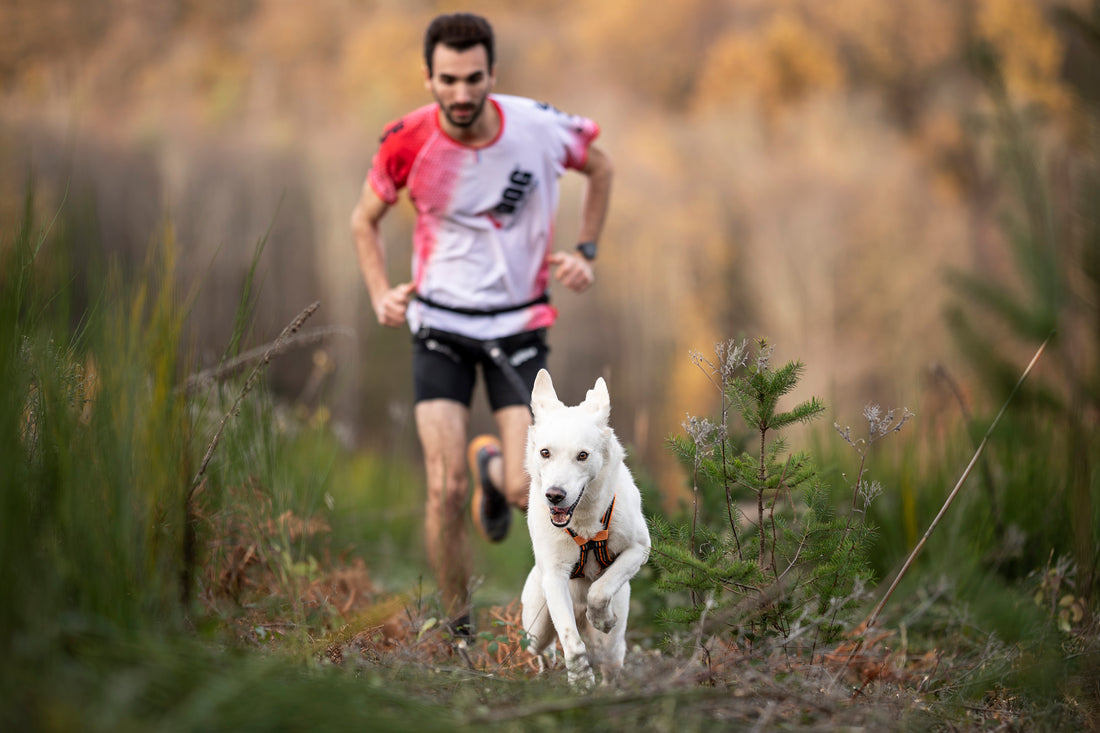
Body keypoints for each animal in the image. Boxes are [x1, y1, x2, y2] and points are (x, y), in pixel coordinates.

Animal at [519, 367, 646, 682]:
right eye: (545, 452)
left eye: (582, 455)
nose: (554, 495)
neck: (585, 522)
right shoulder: (554, 576)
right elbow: (571, 641)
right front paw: (580, 681)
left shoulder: (640, 549)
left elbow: (599, 590)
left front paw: (602, 618)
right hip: (536, 624)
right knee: (541, 648)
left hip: (612, 649)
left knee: (610, 663)